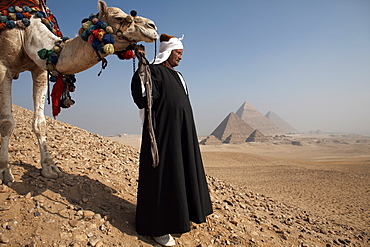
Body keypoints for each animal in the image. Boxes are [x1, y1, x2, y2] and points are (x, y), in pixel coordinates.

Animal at [0, 0, 158, 185]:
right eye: (119, 17)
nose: (152, 26)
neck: (26, 31)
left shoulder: (38, 69)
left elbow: (40, 123)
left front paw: (50, 168)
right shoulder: (3, 66)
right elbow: (7, 123)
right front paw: (5, 171)